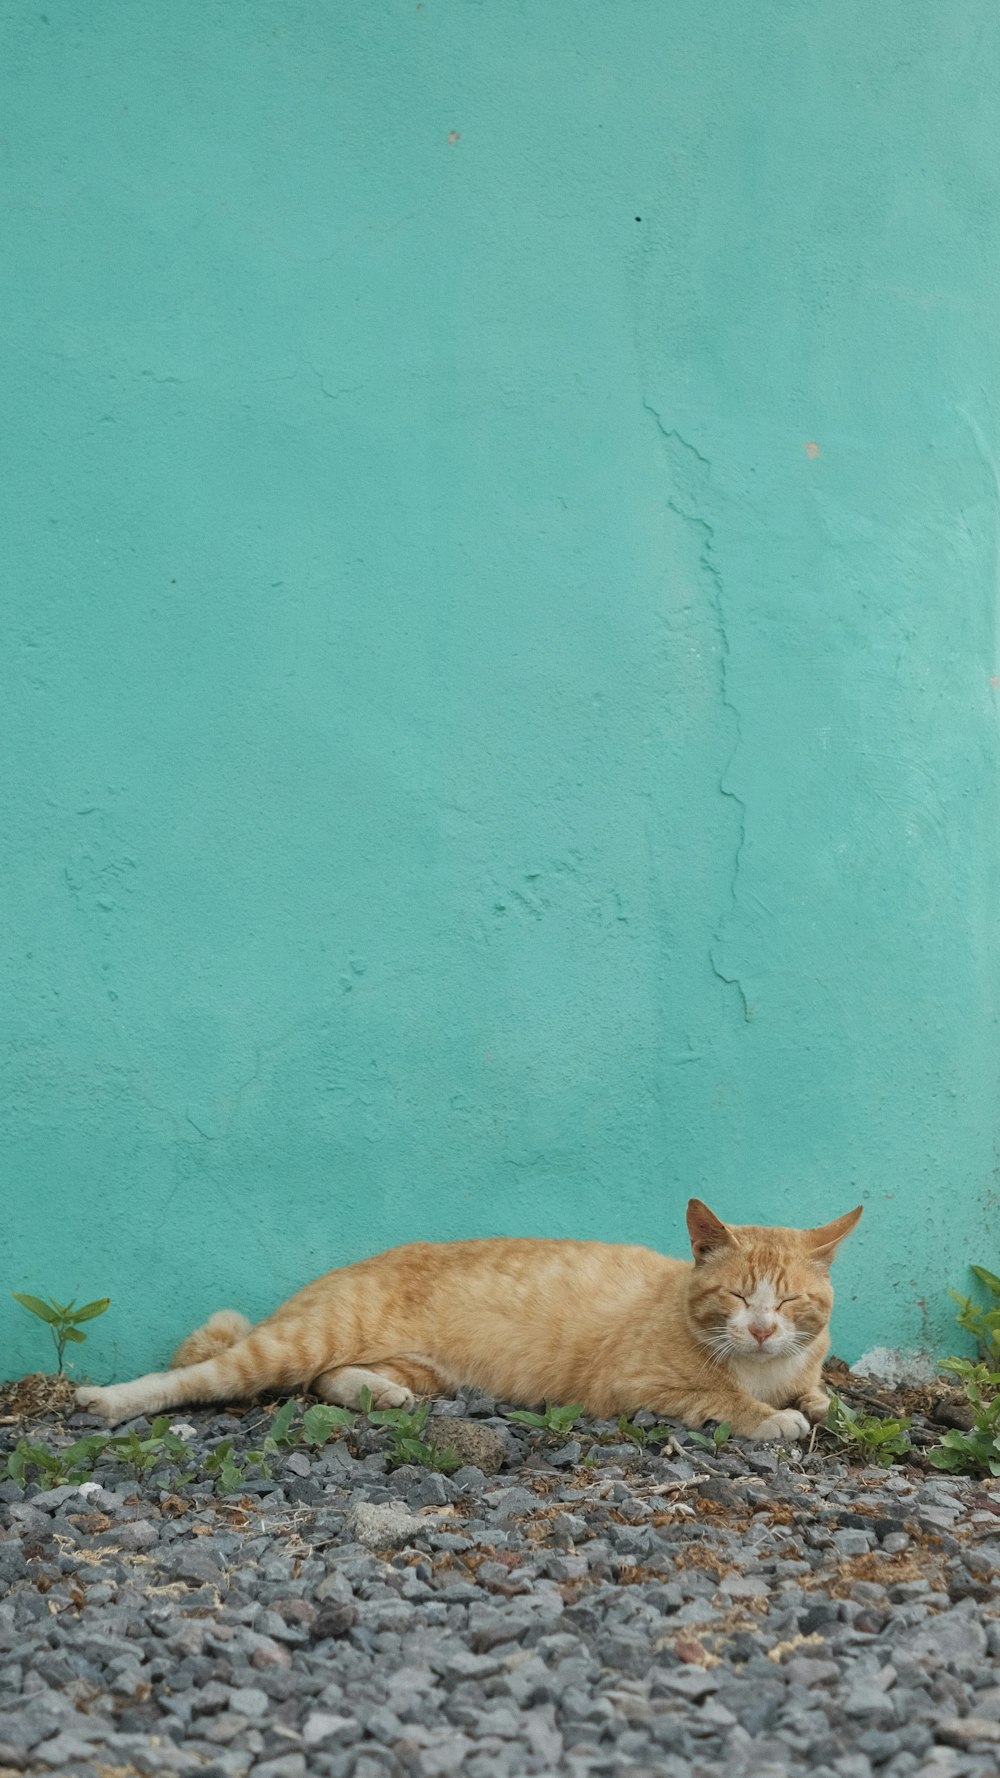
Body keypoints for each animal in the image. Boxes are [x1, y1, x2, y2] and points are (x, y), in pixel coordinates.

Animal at [76, 1201, 857, 1436]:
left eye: (790, 1302)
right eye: (737, 1298)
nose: (761, 1329)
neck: (765, 1367)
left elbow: (821, 1392)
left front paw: (819, 1402)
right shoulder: (638, 1387)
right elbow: (722, 1399)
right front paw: (772, 1418)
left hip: (420, 1369)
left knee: (328, 1379)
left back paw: (379, 1393)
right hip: (297, 1340)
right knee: (202, 1375)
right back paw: (107, 1401)